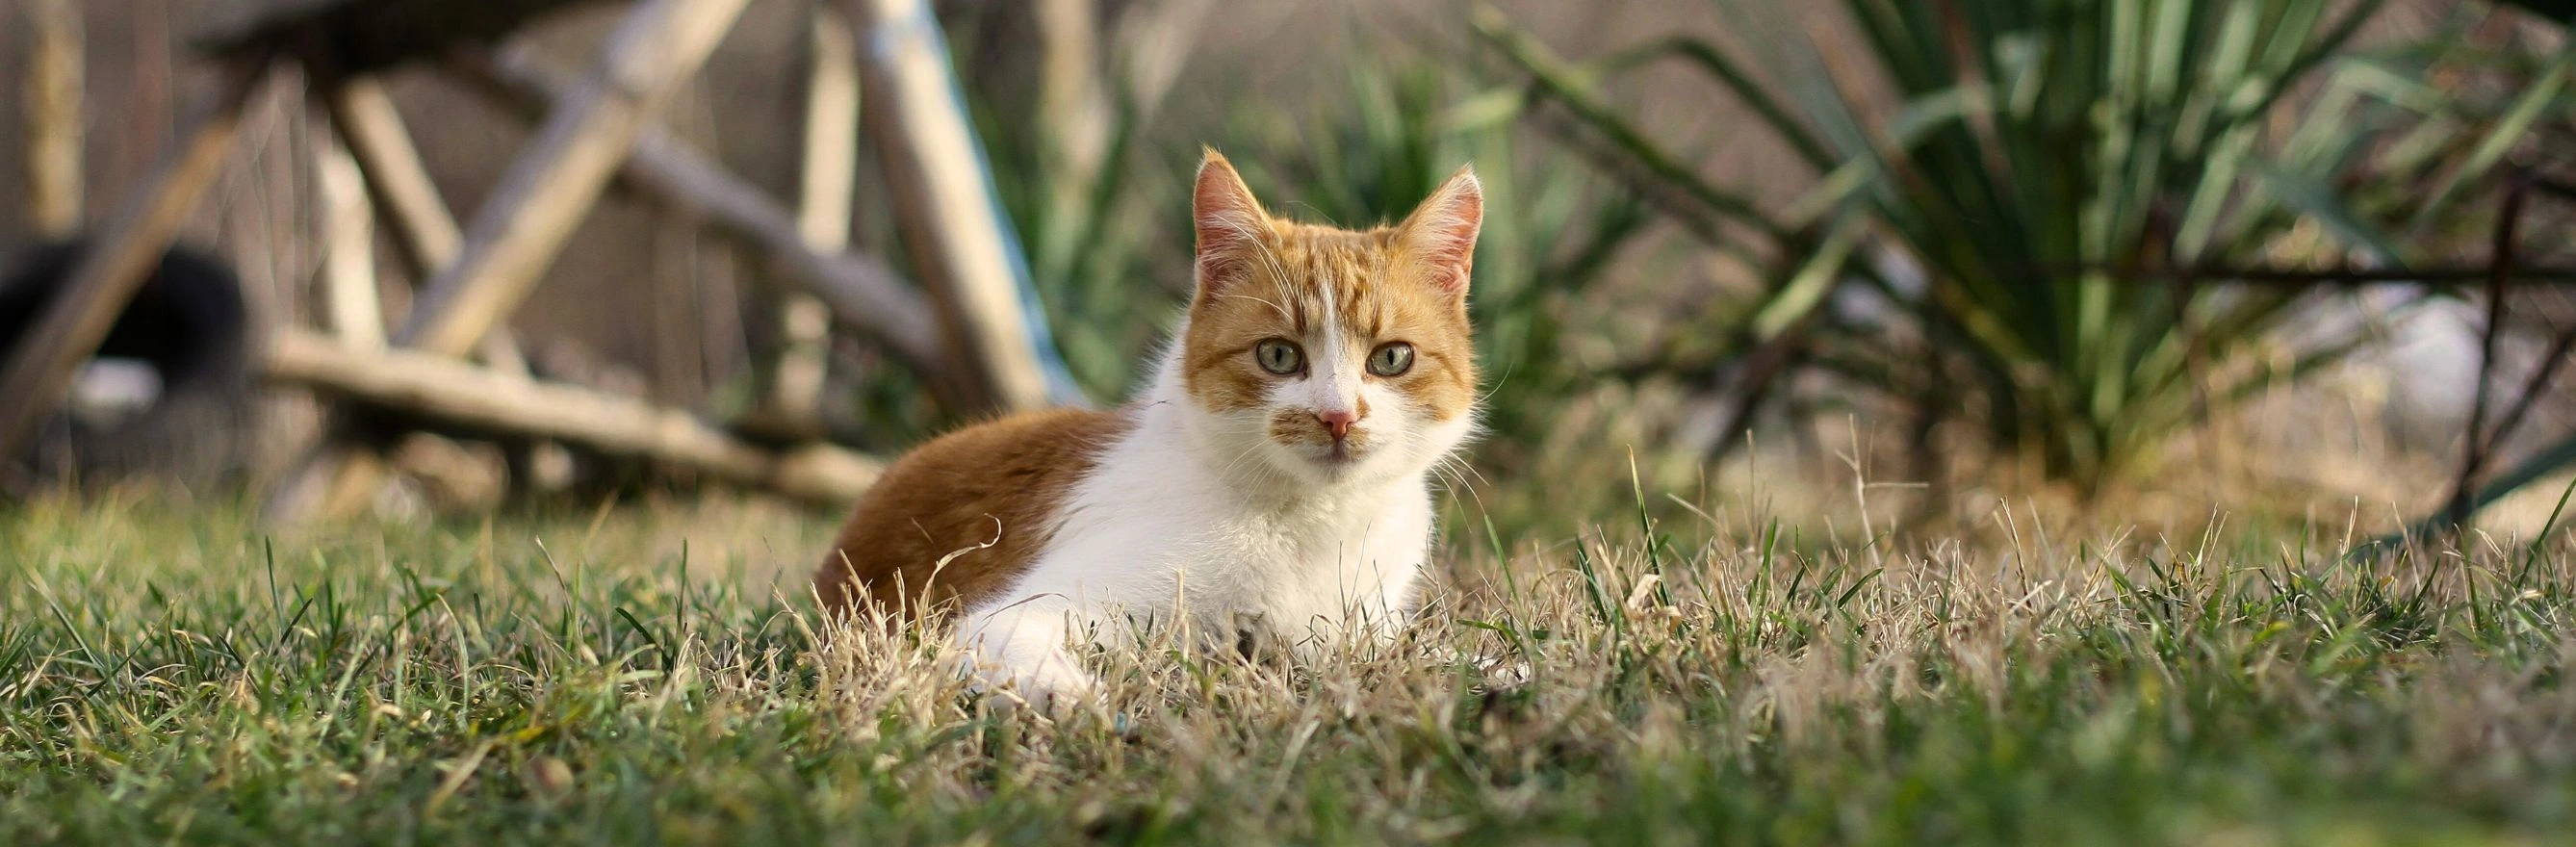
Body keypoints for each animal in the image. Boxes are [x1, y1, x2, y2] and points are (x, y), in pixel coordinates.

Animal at [813, 149, 1483, 705]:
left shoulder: (1368, 623)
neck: (1313, 521)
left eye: (1391, 359)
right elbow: (1004, 633)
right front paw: (1067, 695)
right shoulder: (1031, 608)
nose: (1338, 416)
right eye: (1278, 355)